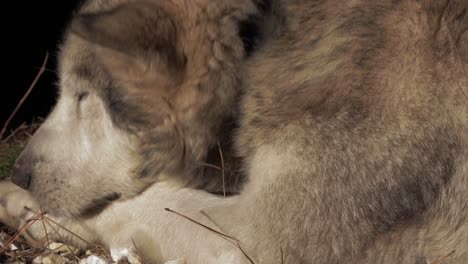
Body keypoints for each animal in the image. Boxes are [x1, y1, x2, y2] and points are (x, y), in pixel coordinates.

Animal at [0, 0, 468, 262]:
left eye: (84, 95)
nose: (19, 171)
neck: (256, 43)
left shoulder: (256, 243)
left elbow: (143, 203)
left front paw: (21, 203)